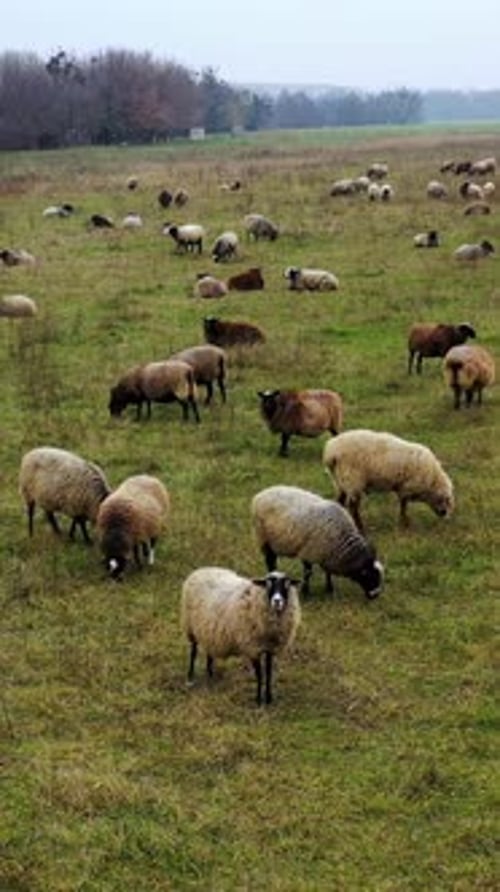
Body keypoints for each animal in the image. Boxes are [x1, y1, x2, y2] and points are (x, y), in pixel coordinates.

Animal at [181, 567, 301, 705]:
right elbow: (260, 674)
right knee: (193, 652)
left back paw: (210, 674)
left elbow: (269, 673)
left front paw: (269, 698)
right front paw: (258, 700)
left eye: (287, 584)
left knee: (209, 649)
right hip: (190, 626)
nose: (277, 601)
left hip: (208, 629)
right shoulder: (253, 647)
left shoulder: (269, 648)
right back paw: (190, 678)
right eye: (267, 584)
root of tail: (201, 570)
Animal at [251, 485, 384, 600]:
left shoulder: (327, 554)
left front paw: (329, 589)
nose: (375, 596)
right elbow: (308, 573)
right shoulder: (308, 552)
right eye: (369, 576)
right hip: (264, 537)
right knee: (270, 561)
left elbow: (328, 572)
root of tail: (260, 495)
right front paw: (305, 592)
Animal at [323, 429, 454, 531]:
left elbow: (403, 504)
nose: (444, 514)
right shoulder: (406, 488)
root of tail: (331, 452)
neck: (432, 478)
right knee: (353, 506)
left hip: (340, 481)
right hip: (352, 479)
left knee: (339, 501)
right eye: (445, 500)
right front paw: (404, 522)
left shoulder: (403, 488)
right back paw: (360, 527)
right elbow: (403, 504)